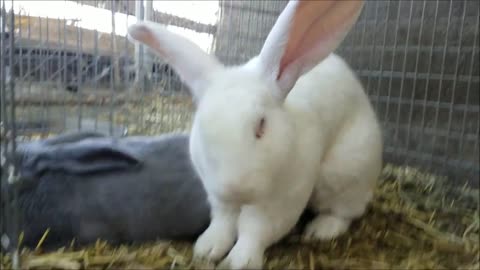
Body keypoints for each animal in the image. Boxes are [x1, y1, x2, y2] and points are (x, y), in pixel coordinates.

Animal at [127, 1, 382, 268]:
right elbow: (223, 222)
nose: (234, 188)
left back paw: (321, 229)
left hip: (346, 175)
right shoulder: (218, 197)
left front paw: (239, 261)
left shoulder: (282, 199)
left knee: (346, 211)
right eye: (203, 130)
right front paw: (207, 249)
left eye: (261, 125)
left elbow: (256, 230)